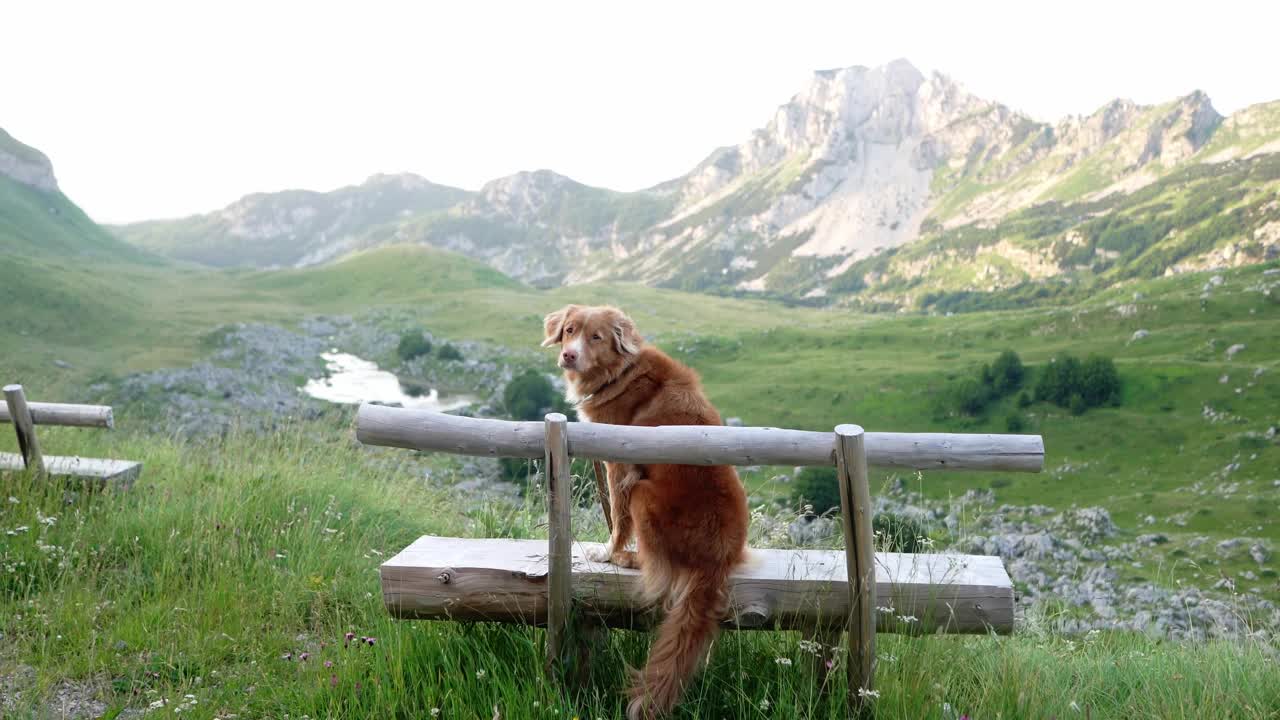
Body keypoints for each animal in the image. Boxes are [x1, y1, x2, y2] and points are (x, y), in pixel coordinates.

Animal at [540, 303, 747, 717]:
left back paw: (630, 559)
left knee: (658, 565)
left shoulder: (619, 464)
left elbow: (618, 519)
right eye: (570, 330)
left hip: (644, 494)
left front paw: (609, 552)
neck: (620, 373)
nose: (569, 355)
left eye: (596, 337)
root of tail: (719, 559)